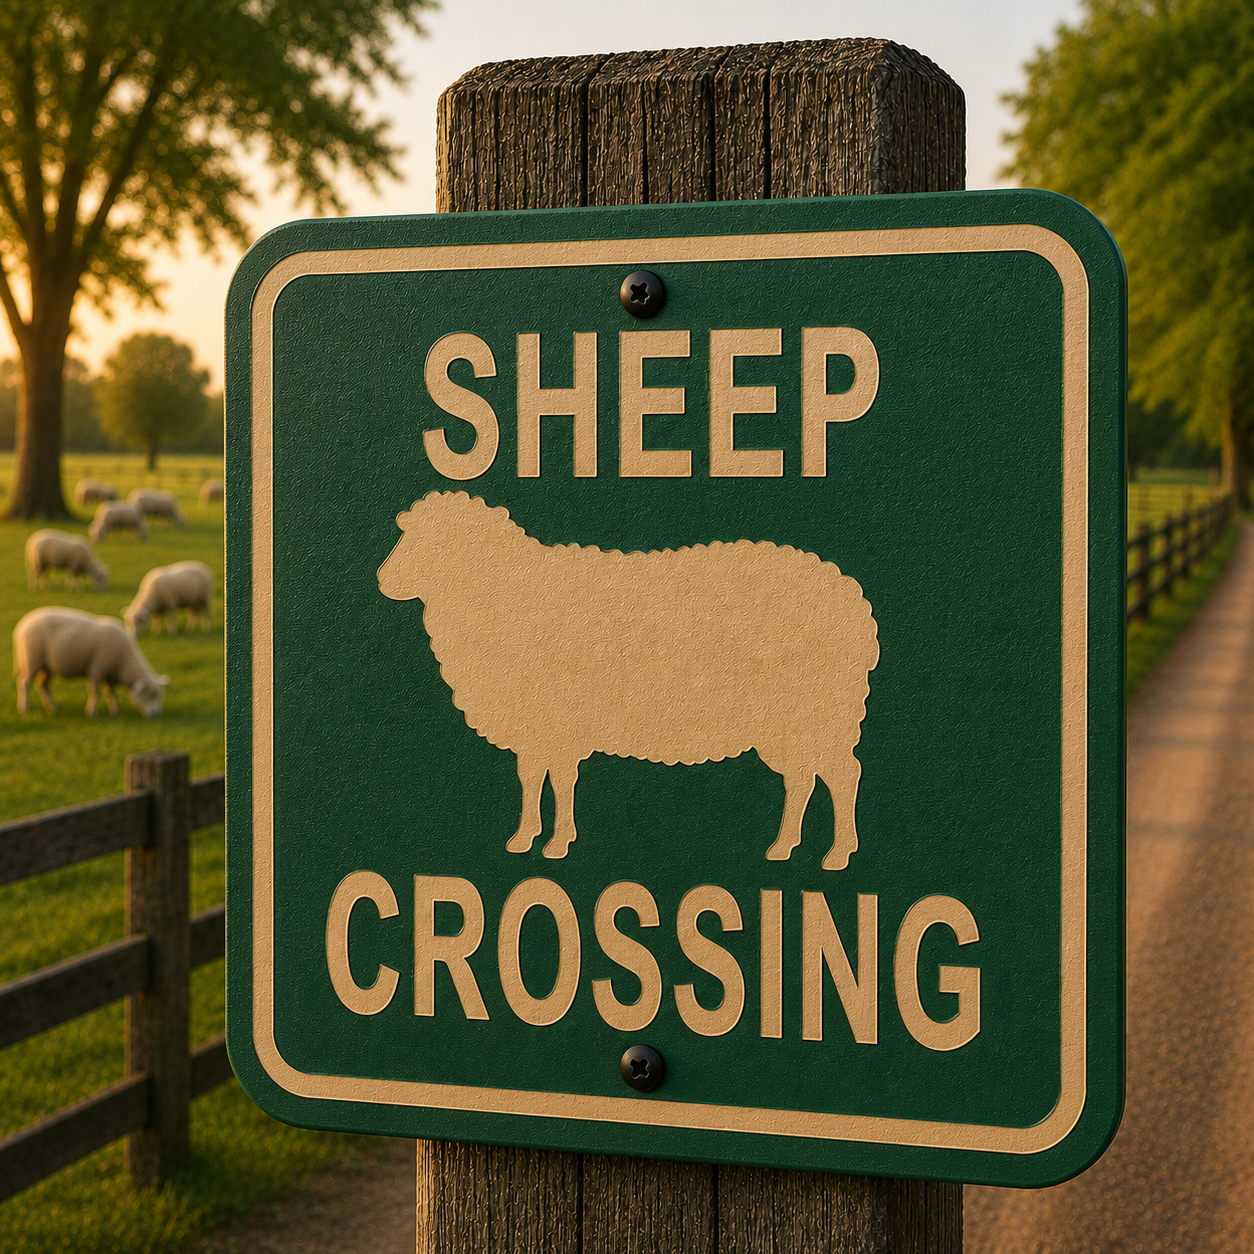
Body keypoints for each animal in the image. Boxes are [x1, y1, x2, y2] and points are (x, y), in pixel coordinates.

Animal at [13, 607, 169, 717]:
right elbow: (96, 692)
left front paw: (115, 712)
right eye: (149, 695)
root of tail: (21, 627)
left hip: (47, 666)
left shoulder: (109, 674)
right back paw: (24, 708)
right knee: (25, 683)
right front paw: (91, 713)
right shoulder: (97, 668)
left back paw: (52, 708)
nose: (156, 715)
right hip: (32, 660)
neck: (124, 662)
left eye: (159, 695)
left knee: (43, 684)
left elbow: (111, 693)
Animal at [377, 492, 880, 872]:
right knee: (804, 780)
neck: (502, 591)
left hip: (821, 713)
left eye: (439, 542)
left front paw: (556, 843)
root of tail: (851, 598)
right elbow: (533, 778)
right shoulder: (537, 724)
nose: (383, 580)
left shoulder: (559, 722)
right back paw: (785, 847)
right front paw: (525, 838)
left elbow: (559, 780)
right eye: (408, 533)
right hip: (794, 724)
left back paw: (837, 854)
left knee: (843, 775)